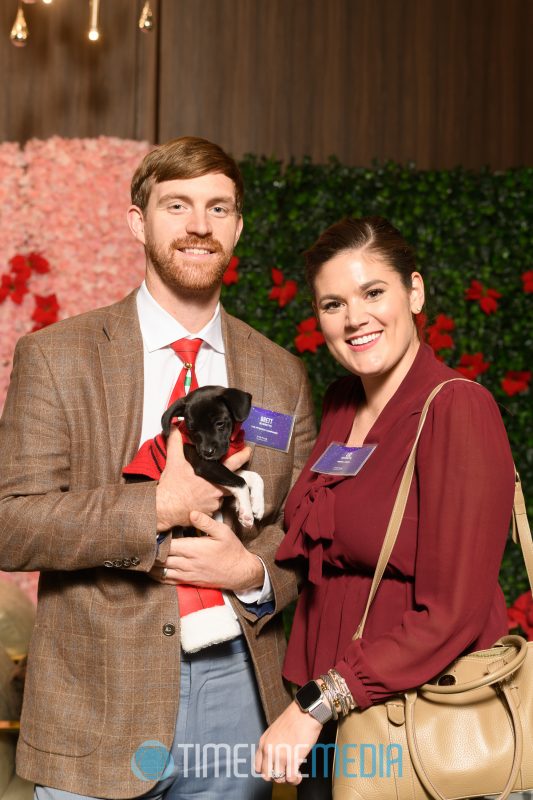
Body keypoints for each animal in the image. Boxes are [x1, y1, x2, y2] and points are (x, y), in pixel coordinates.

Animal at [160, 386, 264, 528]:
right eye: (192, 429)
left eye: (219, 423)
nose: (207, 452)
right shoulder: (205, 465)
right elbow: (240, 481)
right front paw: (246, 512)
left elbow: (254, 477)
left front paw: (258, 505)